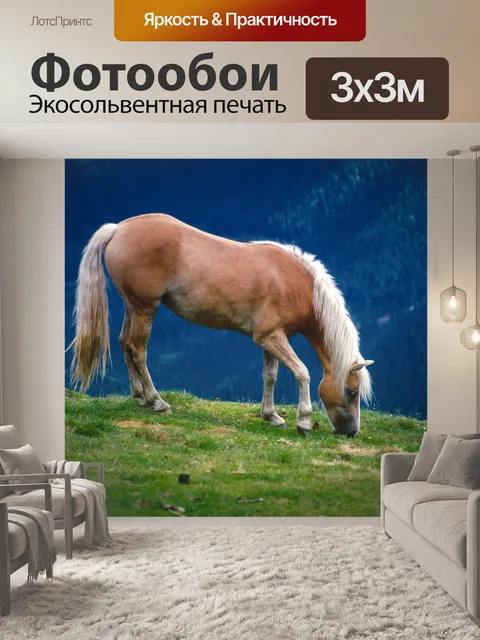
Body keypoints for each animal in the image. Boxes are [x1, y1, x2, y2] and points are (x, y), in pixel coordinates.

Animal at [71, 214, 373, 438]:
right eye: (353, 392)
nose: (352, 432)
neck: (295, 282)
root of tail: (119, 228)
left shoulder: (271, 338)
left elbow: (270, 376)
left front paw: (271, 416)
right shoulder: (271, 337)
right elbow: (302, 373)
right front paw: (304, 422)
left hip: (133, 306)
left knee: (125, 343)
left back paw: (141, 396)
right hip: (146, 307)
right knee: (138, 349)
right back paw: (157, 401)